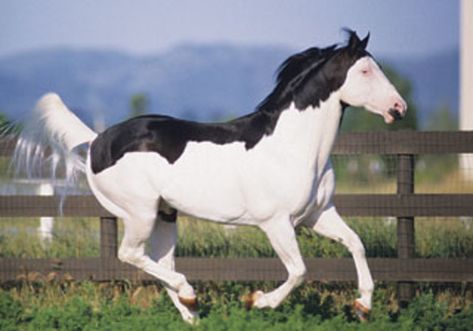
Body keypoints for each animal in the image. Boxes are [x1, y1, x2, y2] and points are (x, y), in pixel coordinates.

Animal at [14, 30, 406, 324]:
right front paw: (257, 301)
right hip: (139, 212)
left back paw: (192, 310)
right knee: (131, 255)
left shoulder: (317, 215)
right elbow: (298, 271)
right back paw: (190, 295)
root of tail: (96, 142)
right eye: (366, 72)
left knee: (160, 263)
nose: (399, 108)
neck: (291, 146)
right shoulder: (276, 223)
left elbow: (356, 243)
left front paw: (363, 306)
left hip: (165, 214)